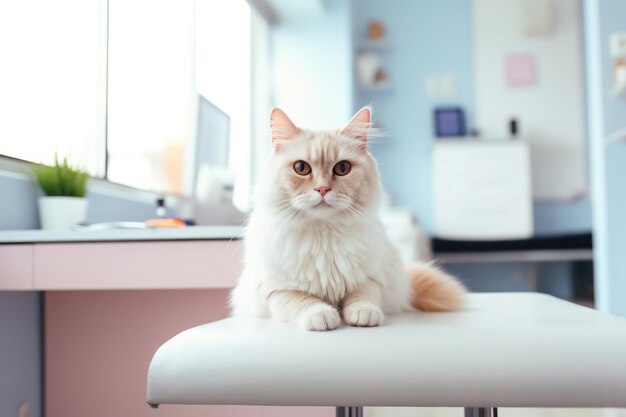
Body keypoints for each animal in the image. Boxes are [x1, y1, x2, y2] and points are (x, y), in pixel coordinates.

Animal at [229, 108, 464, 332]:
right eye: (301, 168)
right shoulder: (276, 289)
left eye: (342, 168)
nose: (322, 189)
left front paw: (364, 315)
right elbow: (303, 301)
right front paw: (322, 315)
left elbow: (360, 297)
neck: (323, 235)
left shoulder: (371, 278)